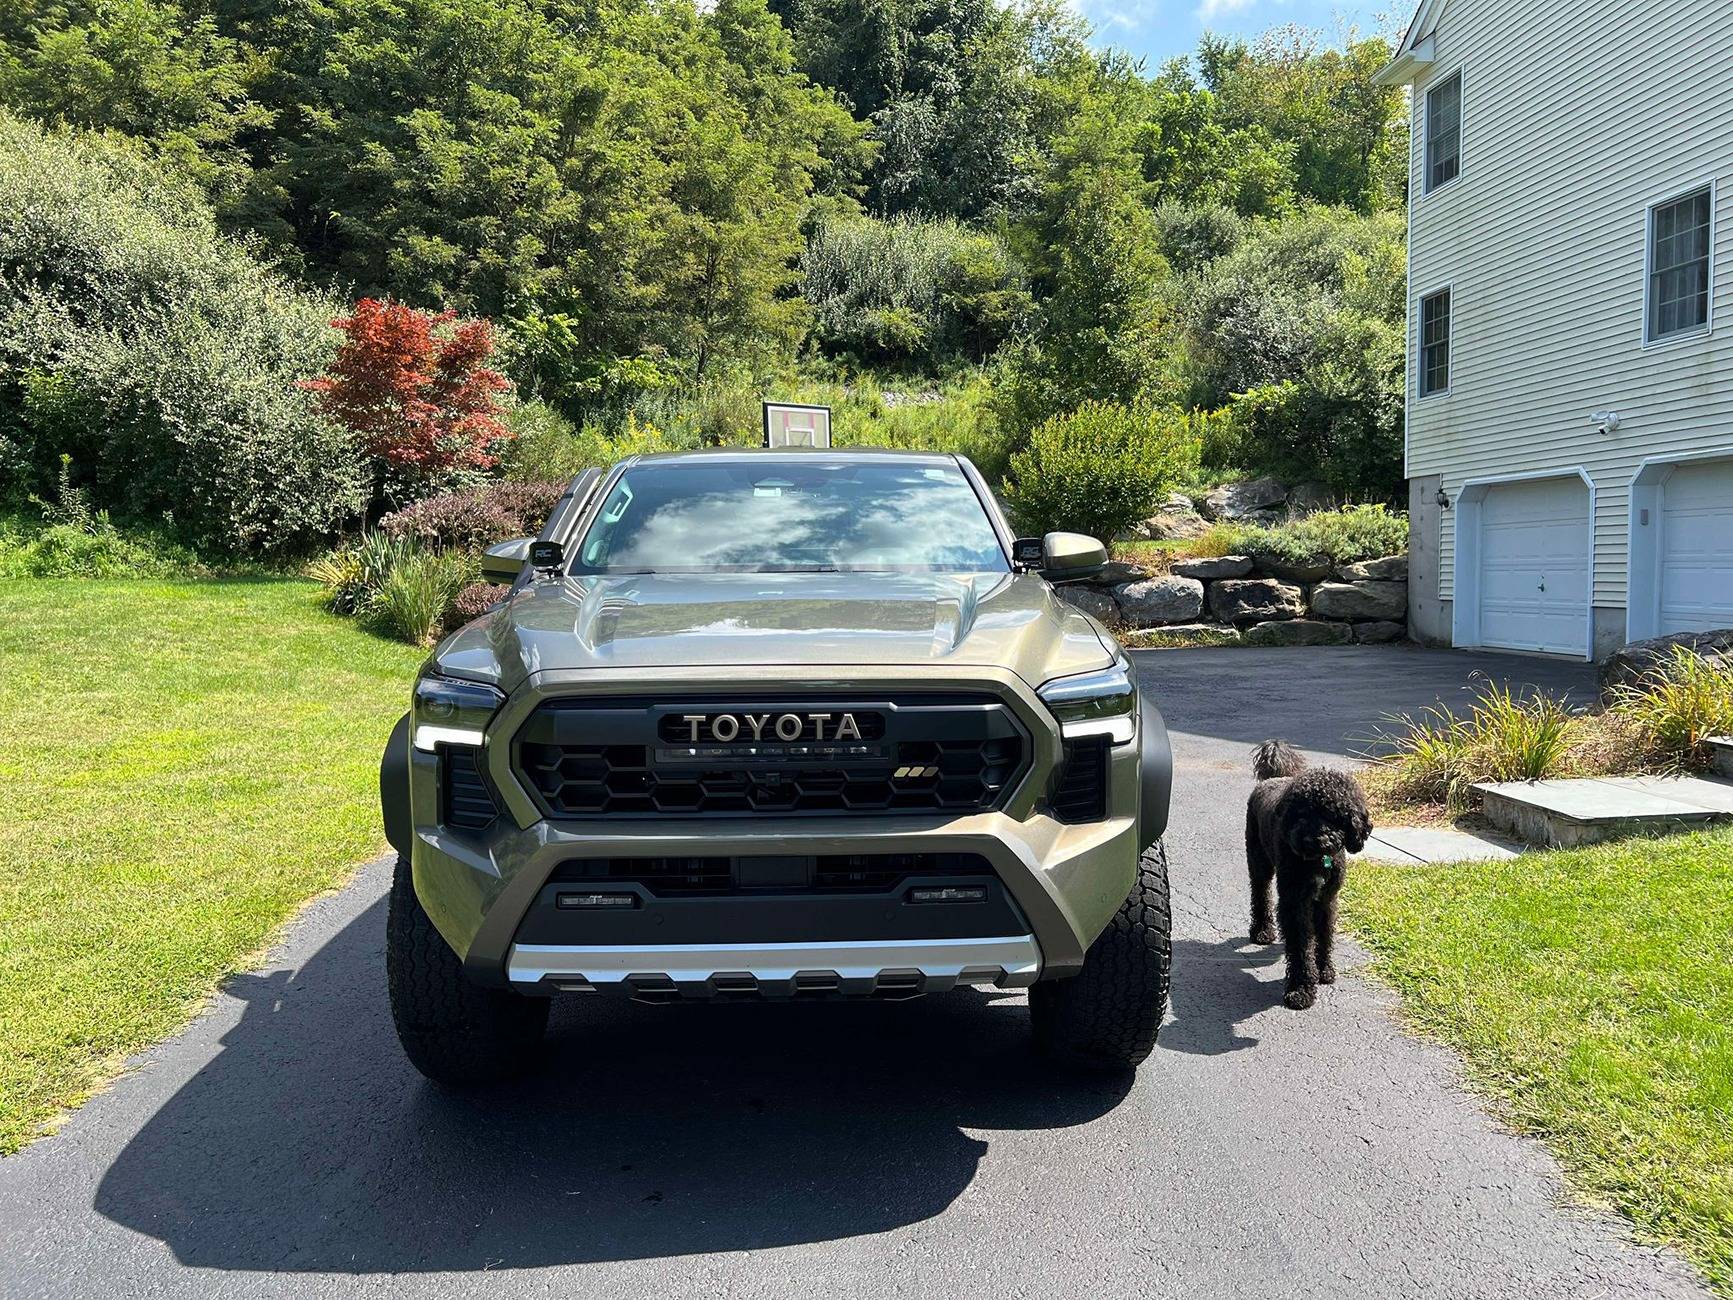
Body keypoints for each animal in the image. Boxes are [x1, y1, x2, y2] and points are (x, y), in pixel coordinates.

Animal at [1247, 741, 1365, 1005]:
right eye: (1302, 813)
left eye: (1333, 815)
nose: (1313, 839)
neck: (1317, 861)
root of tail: (1275, 778)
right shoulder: (1294, 901)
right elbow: (1301, 946)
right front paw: (1301, 989)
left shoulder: (1327, 900)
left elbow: (1324, 935)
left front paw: (1324, 970)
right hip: (1258, 862)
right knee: (1260, 895)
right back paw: (1262, 931)